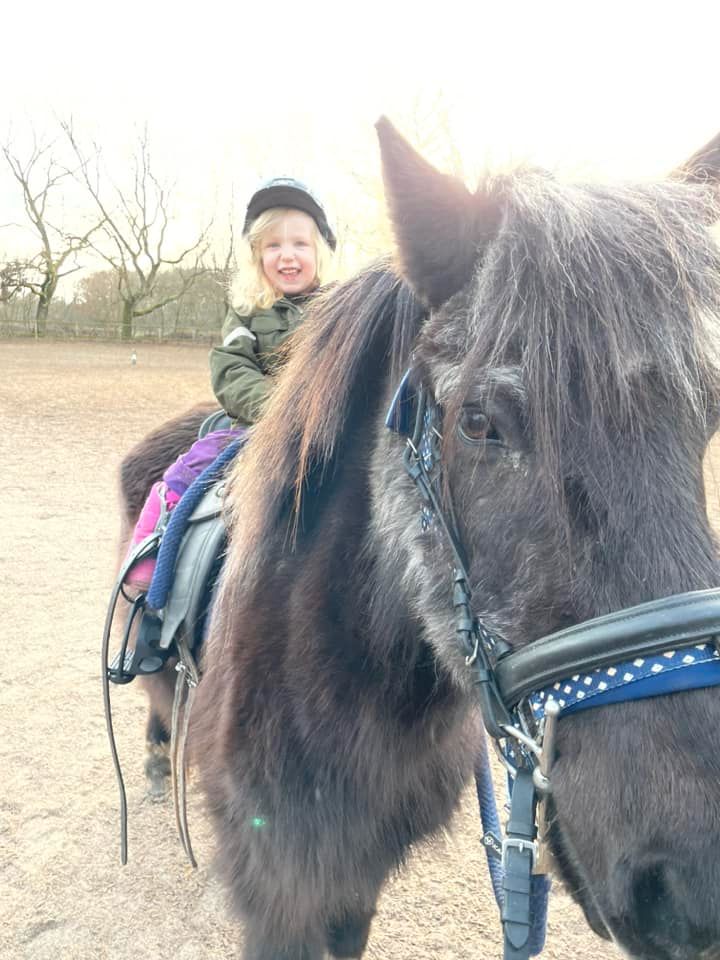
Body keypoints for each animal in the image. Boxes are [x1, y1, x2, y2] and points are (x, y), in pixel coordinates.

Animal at [119, 122, 720, 960]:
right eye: (479, 422)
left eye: (705, 425)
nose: (692, 878)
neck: (353, 687)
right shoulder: (277, 886)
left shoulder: (355, 875)